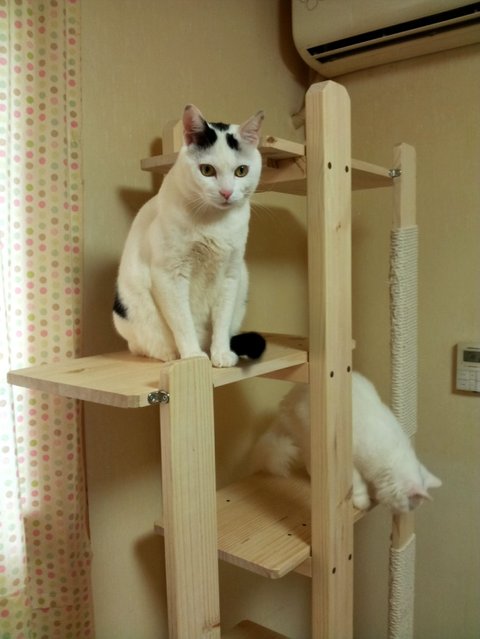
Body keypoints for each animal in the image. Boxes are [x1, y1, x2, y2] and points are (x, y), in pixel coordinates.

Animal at [113, 105, 266, 368]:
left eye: (241, 171)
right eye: (207, 170)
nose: (226, 192)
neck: (214, 222)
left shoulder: (231, 273)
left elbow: (222, 320)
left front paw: (221, 354)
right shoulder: (169, 273)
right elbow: (183, 322)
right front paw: (193, 357)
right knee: (141, 344)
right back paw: (169, 353)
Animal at [252, 371, 441, 513]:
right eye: (410, 505)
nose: (407, 513)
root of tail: (287, 399)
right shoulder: (349, 461)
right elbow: (356, 483)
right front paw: (362, 501)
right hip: (308, 433)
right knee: (308, 460)